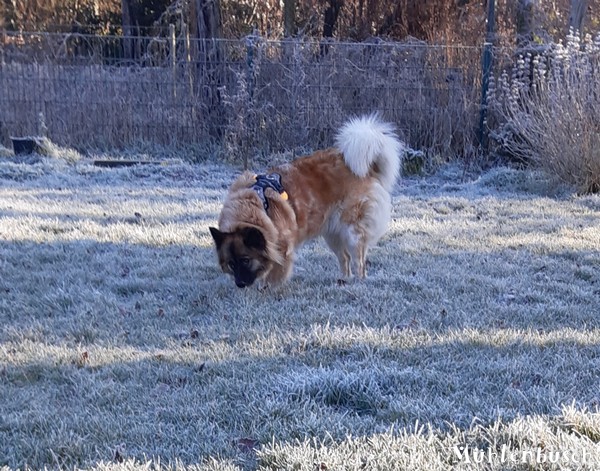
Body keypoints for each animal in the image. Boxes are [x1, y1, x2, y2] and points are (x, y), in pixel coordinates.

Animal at [210, 116, 404, 290]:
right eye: (231, 263)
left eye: (246, 260)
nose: (240, 284)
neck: (259, 207)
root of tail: (365, 168)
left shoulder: (282, 248)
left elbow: (274, 274)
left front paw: (267, 289)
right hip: (332, 235)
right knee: (345, 258)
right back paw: (343, 281)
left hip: (352, 232)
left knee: (359, 261)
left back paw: (358, 282)